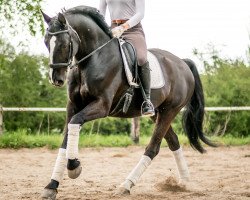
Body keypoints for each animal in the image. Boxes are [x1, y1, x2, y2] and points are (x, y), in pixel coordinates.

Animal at [40, 5, 215, 199]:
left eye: (64, 43)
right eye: (46, 42)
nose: (56, 79)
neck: (93, 58)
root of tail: (182, 63)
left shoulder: (101, 105)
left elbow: (74, 123)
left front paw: (74, 167)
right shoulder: (73, 106)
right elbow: (66, 139)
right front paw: (52, 186)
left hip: (170, 110)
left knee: (153, 148)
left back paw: (126, 185)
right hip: (158, 113)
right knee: (173, 141)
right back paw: (185, 182)